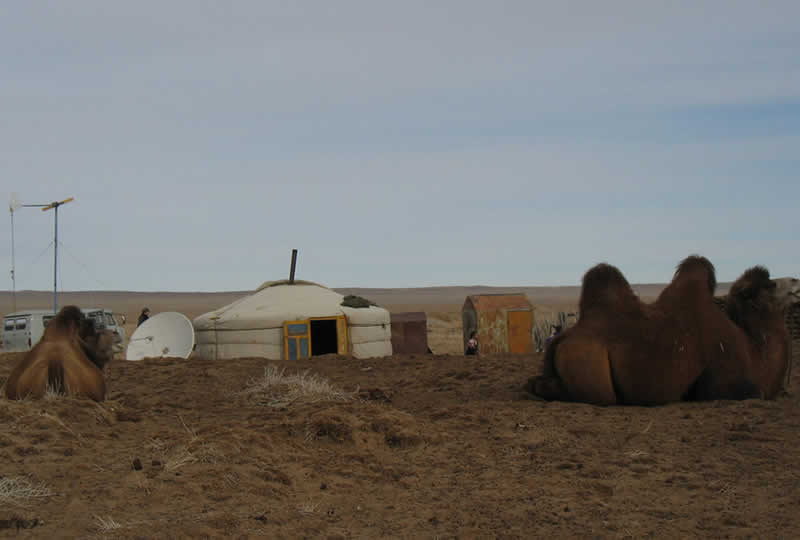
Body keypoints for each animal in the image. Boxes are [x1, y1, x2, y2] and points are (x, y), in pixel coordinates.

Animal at [536, 255, 792, 402]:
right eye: (769, 286)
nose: (791, 284)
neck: (752, 350)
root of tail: (563, 337)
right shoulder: (721, 381)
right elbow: (750, 392)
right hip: (590, 368)